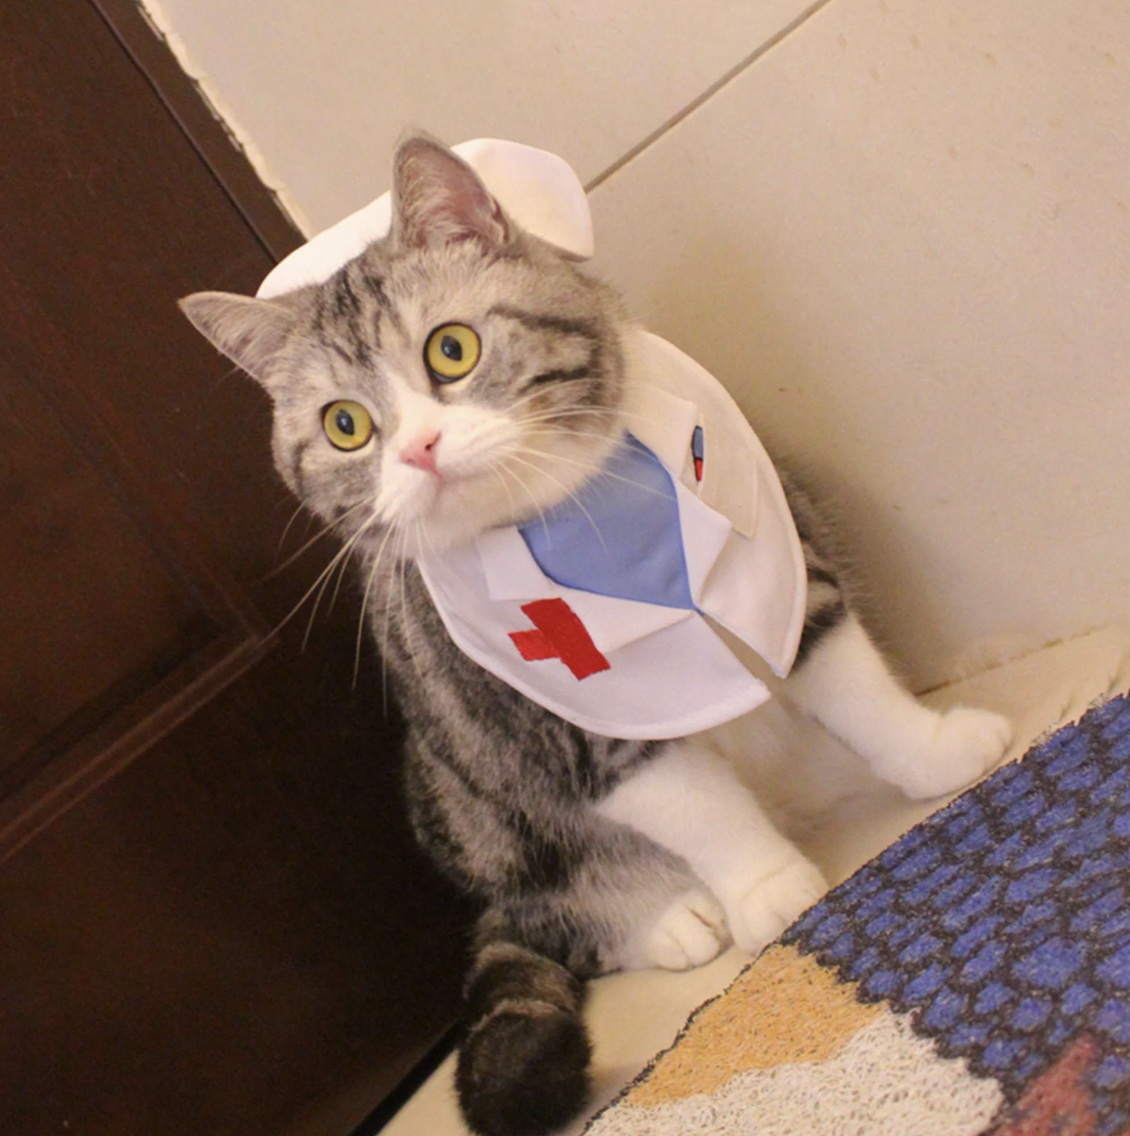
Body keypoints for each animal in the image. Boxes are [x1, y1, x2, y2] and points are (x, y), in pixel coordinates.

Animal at [181, 135, 1013, 1136]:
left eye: (451, 348)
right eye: (347, 426)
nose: (418, 449)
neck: (592, 523)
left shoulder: (788, 569)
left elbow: (850, 683)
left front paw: (937, 757)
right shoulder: (571, 721)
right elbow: (691, 804)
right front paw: (767, 888)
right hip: (462, 791)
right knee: (550, 903)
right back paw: (667, 913)